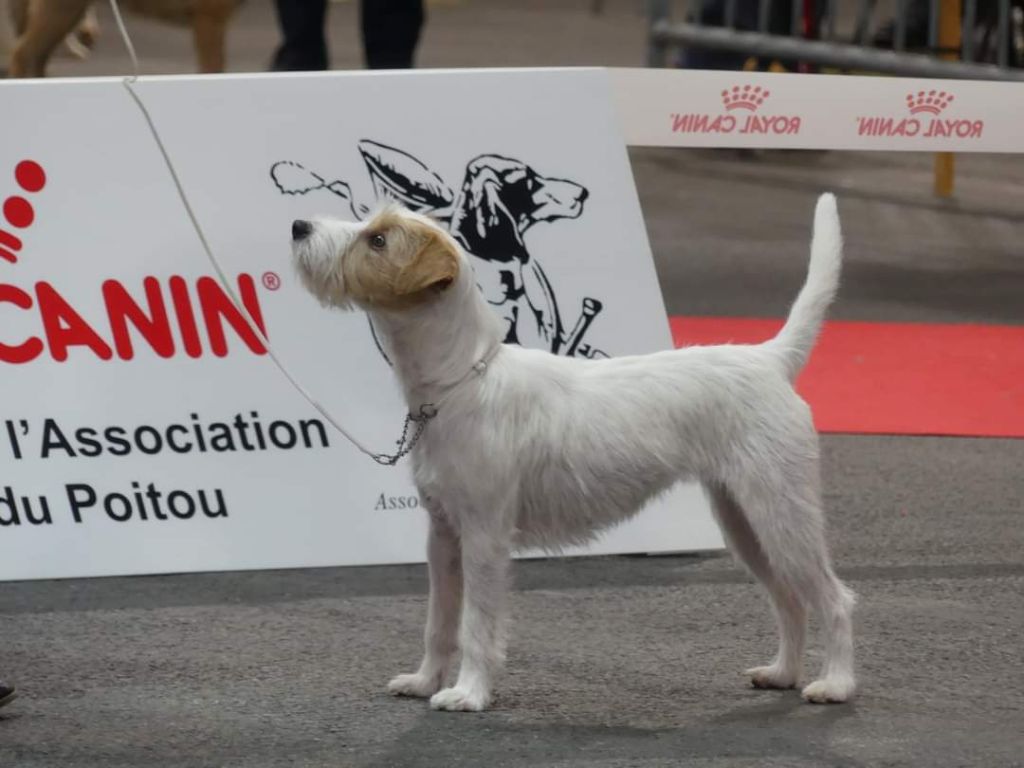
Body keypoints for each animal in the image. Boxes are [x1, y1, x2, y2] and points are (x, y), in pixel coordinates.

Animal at [3, 0, 237, 77]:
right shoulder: (210, 18)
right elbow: (213, 70)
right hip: (62, 11)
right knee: (24, 54)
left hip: (68, 13)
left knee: (35, 56)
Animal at [290, 195, 856, 712]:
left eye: (378, 240)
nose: (298, 226)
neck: (462, 379)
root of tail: (768, 359)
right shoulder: (443, 534)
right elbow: (439, 621)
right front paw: (425, 681)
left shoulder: (484, 537)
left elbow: (476, 624)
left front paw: (468, 694)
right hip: (744, 521)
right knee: (789, 599)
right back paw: (782, 673)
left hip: (782, 514)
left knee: (834, 599)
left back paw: (835, 684)